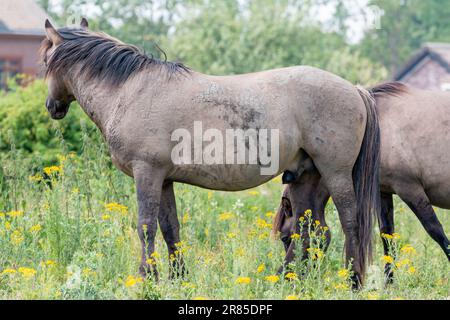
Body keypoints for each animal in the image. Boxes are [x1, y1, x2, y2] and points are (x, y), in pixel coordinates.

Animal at [40, 18, 382, 286]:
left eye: (45, 61)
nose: (52, 107)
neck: (131, 91)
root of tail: (355, 89)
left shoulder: (146, 173)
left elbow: (145, 227)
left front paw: (147, 277)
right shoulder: (164, 179)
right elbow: (170, 228)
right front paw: (178, 278)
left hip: (336, 174)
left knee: (349, 224)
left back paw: (351, 281)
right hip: (304, 178)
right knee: (311, 231)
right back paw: (285, 279)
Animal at [274, 82, 450, 280]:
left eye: (285, 237)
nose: (285, 276)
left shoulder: (410, 189)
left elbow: (436, 231)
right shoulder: (384, 191)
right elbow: (387, 236)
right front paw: (388, 283)